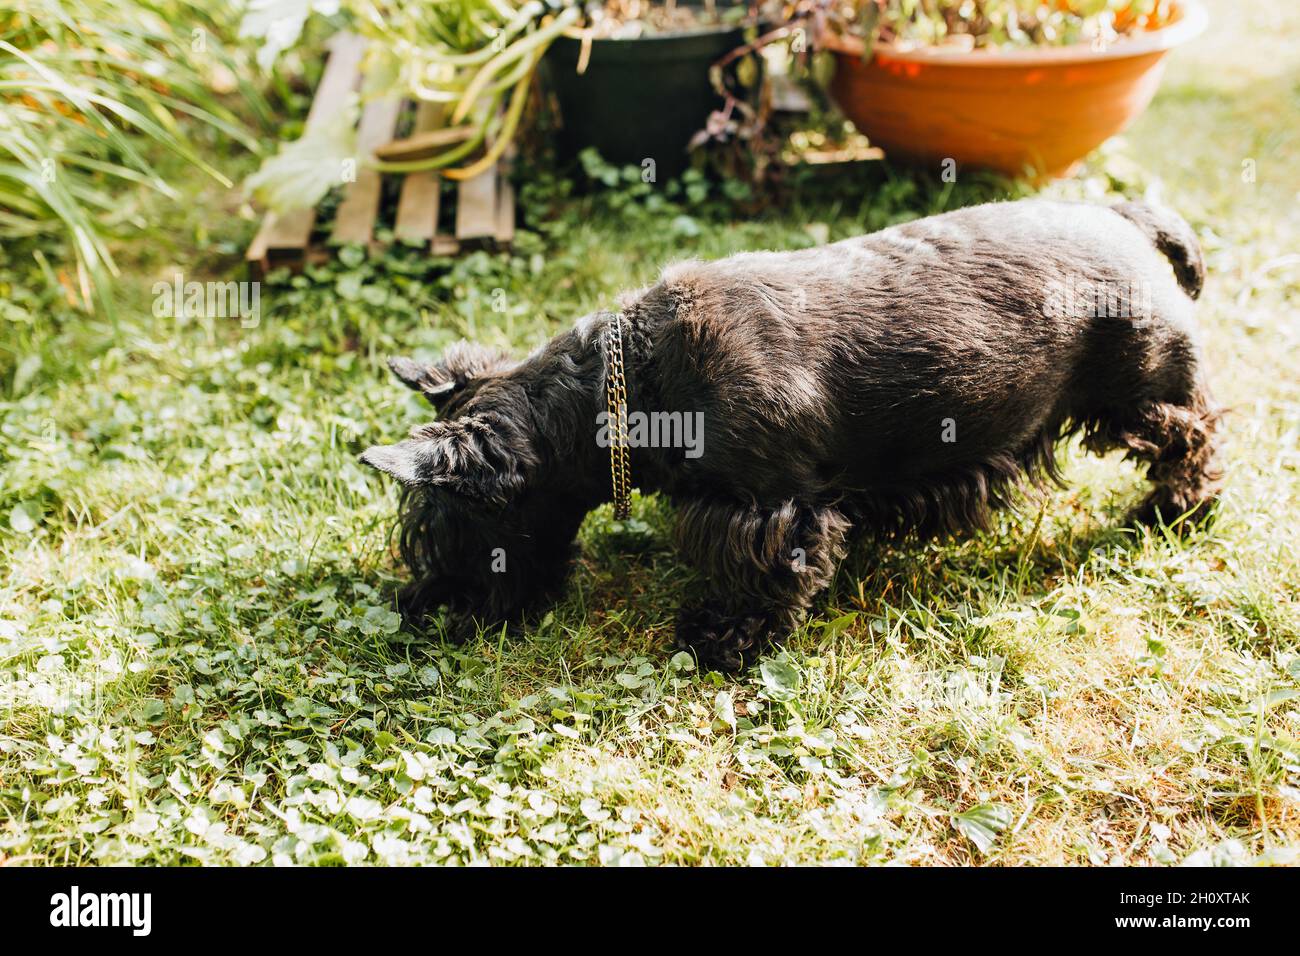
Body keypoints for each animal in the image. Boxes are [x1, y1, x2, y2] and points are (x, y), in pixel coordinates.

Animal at [364, 197, 1216, 671]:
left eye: (440, 528)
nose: (420, 610)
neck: (632, 385)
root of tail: (1129, 218)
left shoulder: (775, 511)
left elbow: (764, 579)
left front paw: (721, 638)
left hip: (1143, 393)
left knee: (1195, 436)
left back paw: (1174, 511)